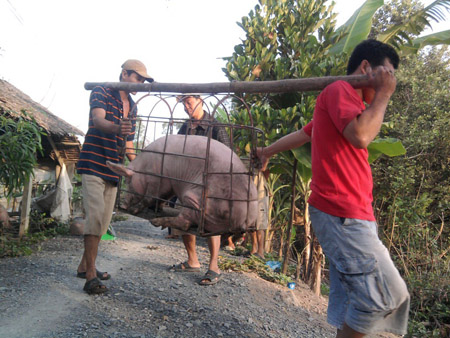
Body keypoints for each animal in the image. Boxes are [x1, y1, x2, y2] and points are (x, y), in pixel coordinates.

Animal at [106, 134, 258, 235]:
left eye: (128, 181)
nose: (123, 205)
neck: (144, 168)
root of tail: (245, 220)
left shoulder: (158, 179)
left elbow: (149, 197)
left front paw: (134, 210)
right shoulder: (170, 185)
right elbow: (164, 197)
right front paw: (158, 208)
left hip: (197, 199)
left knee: (184, 223)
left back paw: (156, 222)